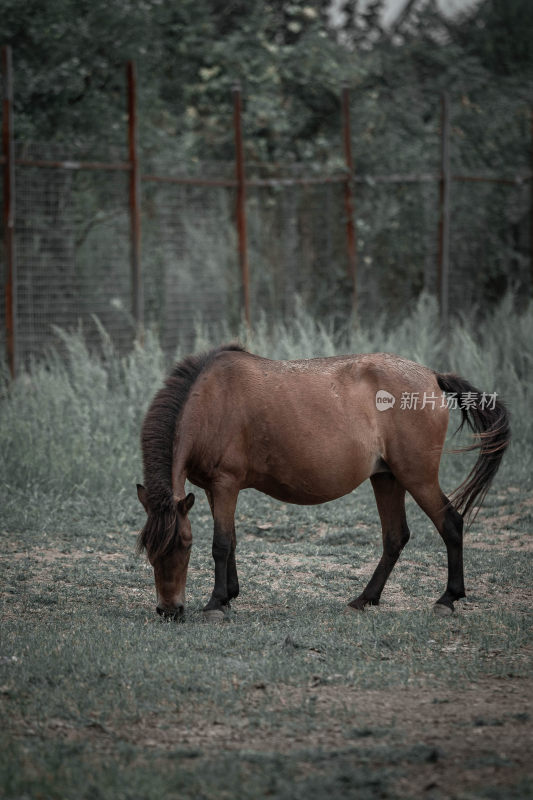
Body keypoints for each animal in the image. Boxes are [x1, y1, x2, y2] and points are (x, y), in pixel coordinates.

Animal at [135, 340, 510, 620]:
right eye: (149, 550)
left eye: (185, 544)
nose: (169, 610)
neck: (212, 399)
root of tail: (432, 376)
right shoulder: (215, 490)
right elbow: (233, 542)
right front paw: (228, 596)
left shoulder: (225, 484)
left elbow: (221, 544)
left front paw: (215, 603)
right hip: (387, 478)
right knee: (395, 537)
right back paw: (365, 599)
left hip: (417, 477)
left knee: (450, 524)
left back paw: (448, 598)